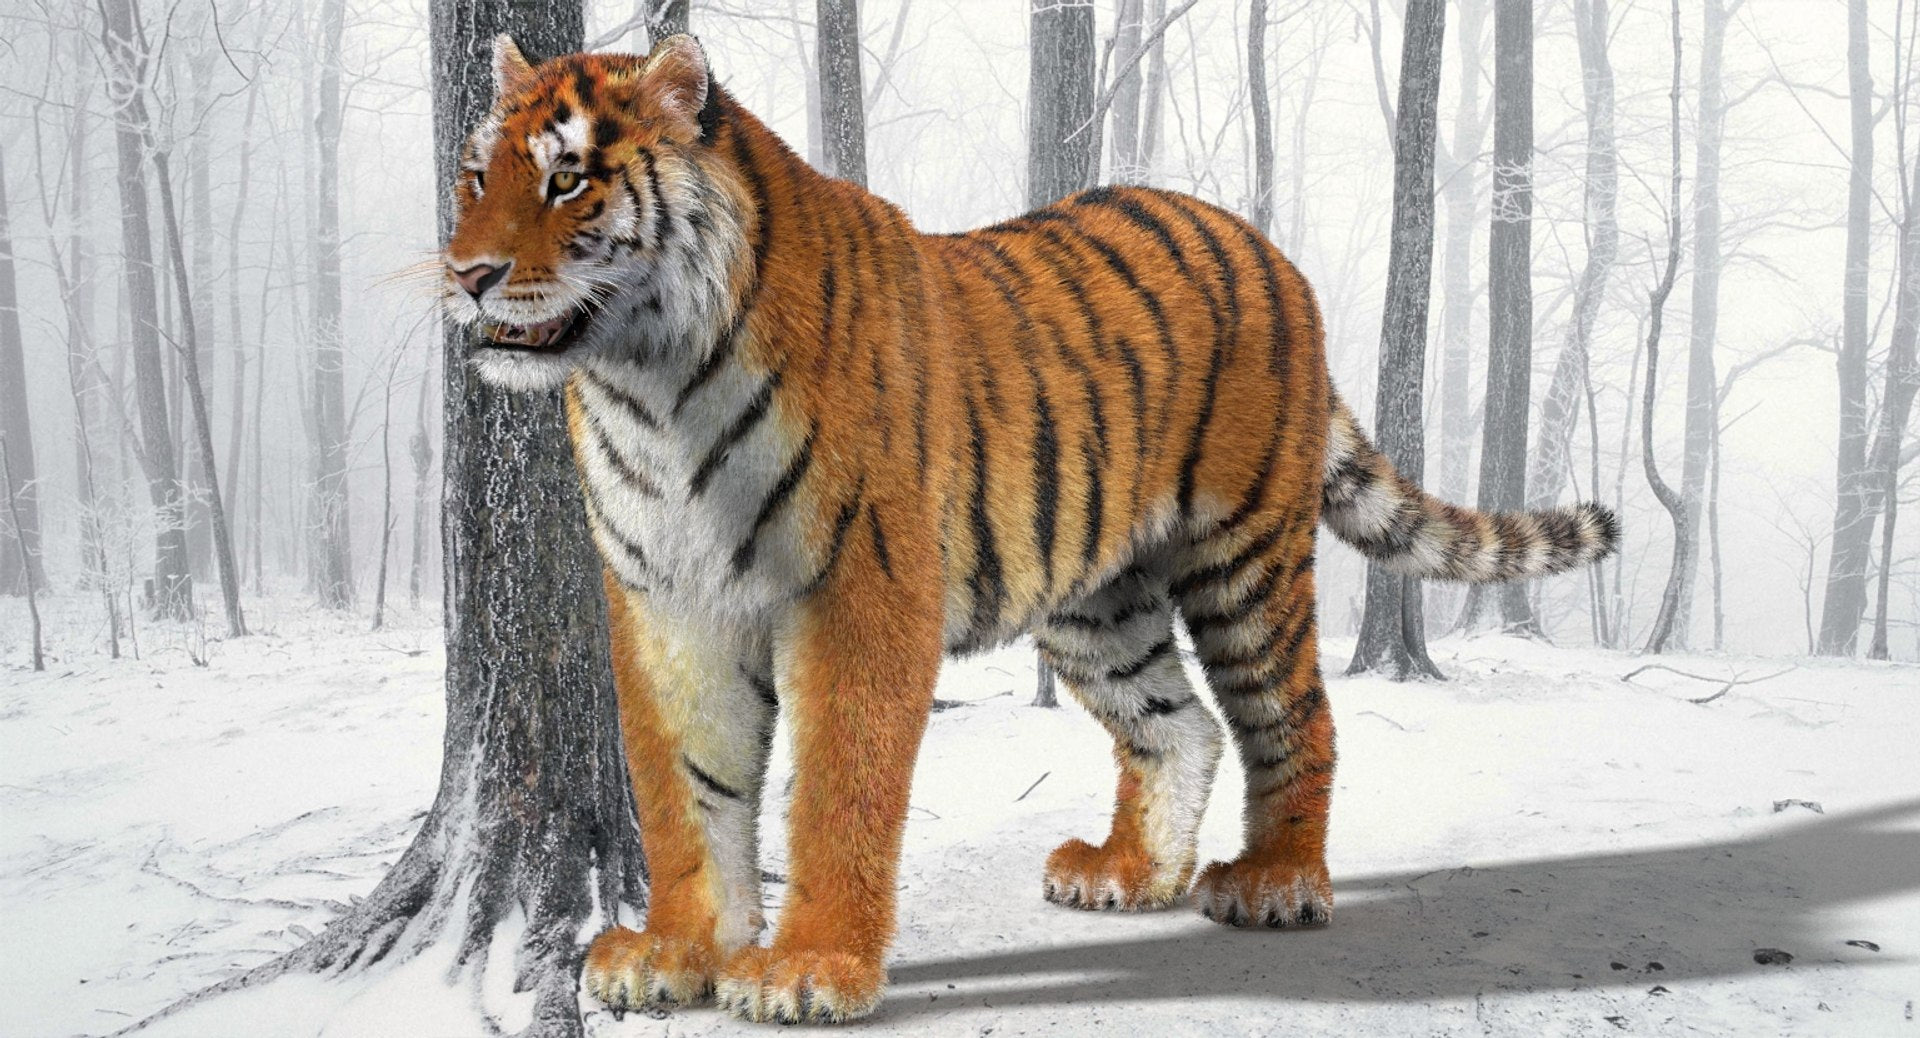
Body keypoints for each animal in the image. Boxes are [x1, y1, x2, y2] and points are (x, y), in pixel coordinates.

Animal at [440, 34, 1618, 1025]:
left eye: (567, 178)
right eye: (474, 178)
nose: (467, 276)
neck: (648, 386)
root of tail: (1271, 250)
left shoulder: (860, 590)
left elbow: (836, 787)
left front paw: (810, 969)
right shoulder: (669, 602)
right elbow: (684, 788)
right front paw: (675, 953)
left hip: (1244, 557)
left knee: (1293, 717)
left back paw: (1277, 882)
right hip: (1096, 601)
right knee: (1177, 725)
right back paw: (1128, 876)